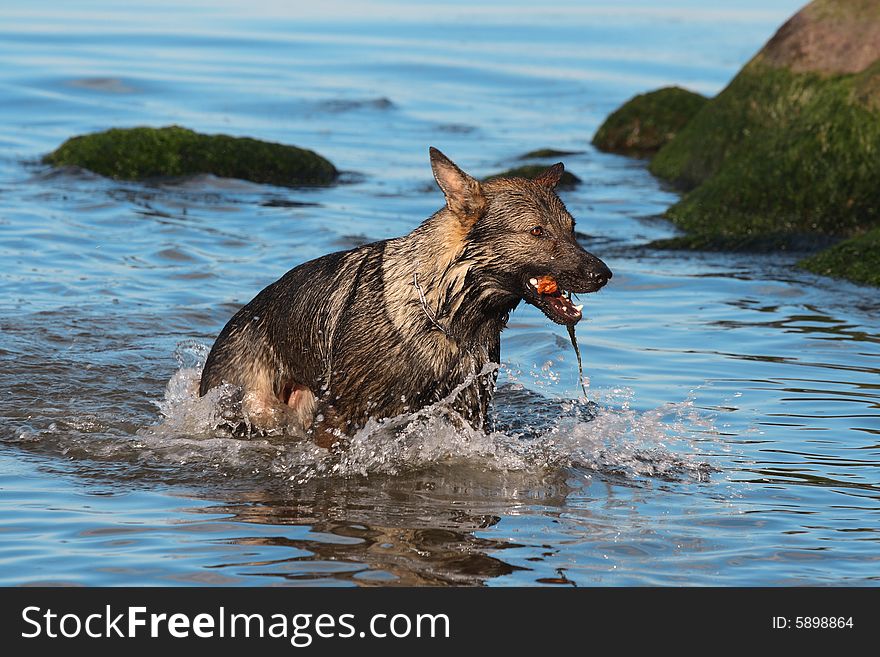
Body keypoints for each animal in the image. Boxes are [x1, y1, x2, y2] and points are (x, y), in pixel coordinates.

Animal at [199, 148, 612, 446]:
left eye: (573, 229)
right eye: (537, 231)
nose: (604, 275)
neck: (446, 313)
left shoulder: (467, 413)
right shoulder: (340, 416)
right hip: (256, 407)